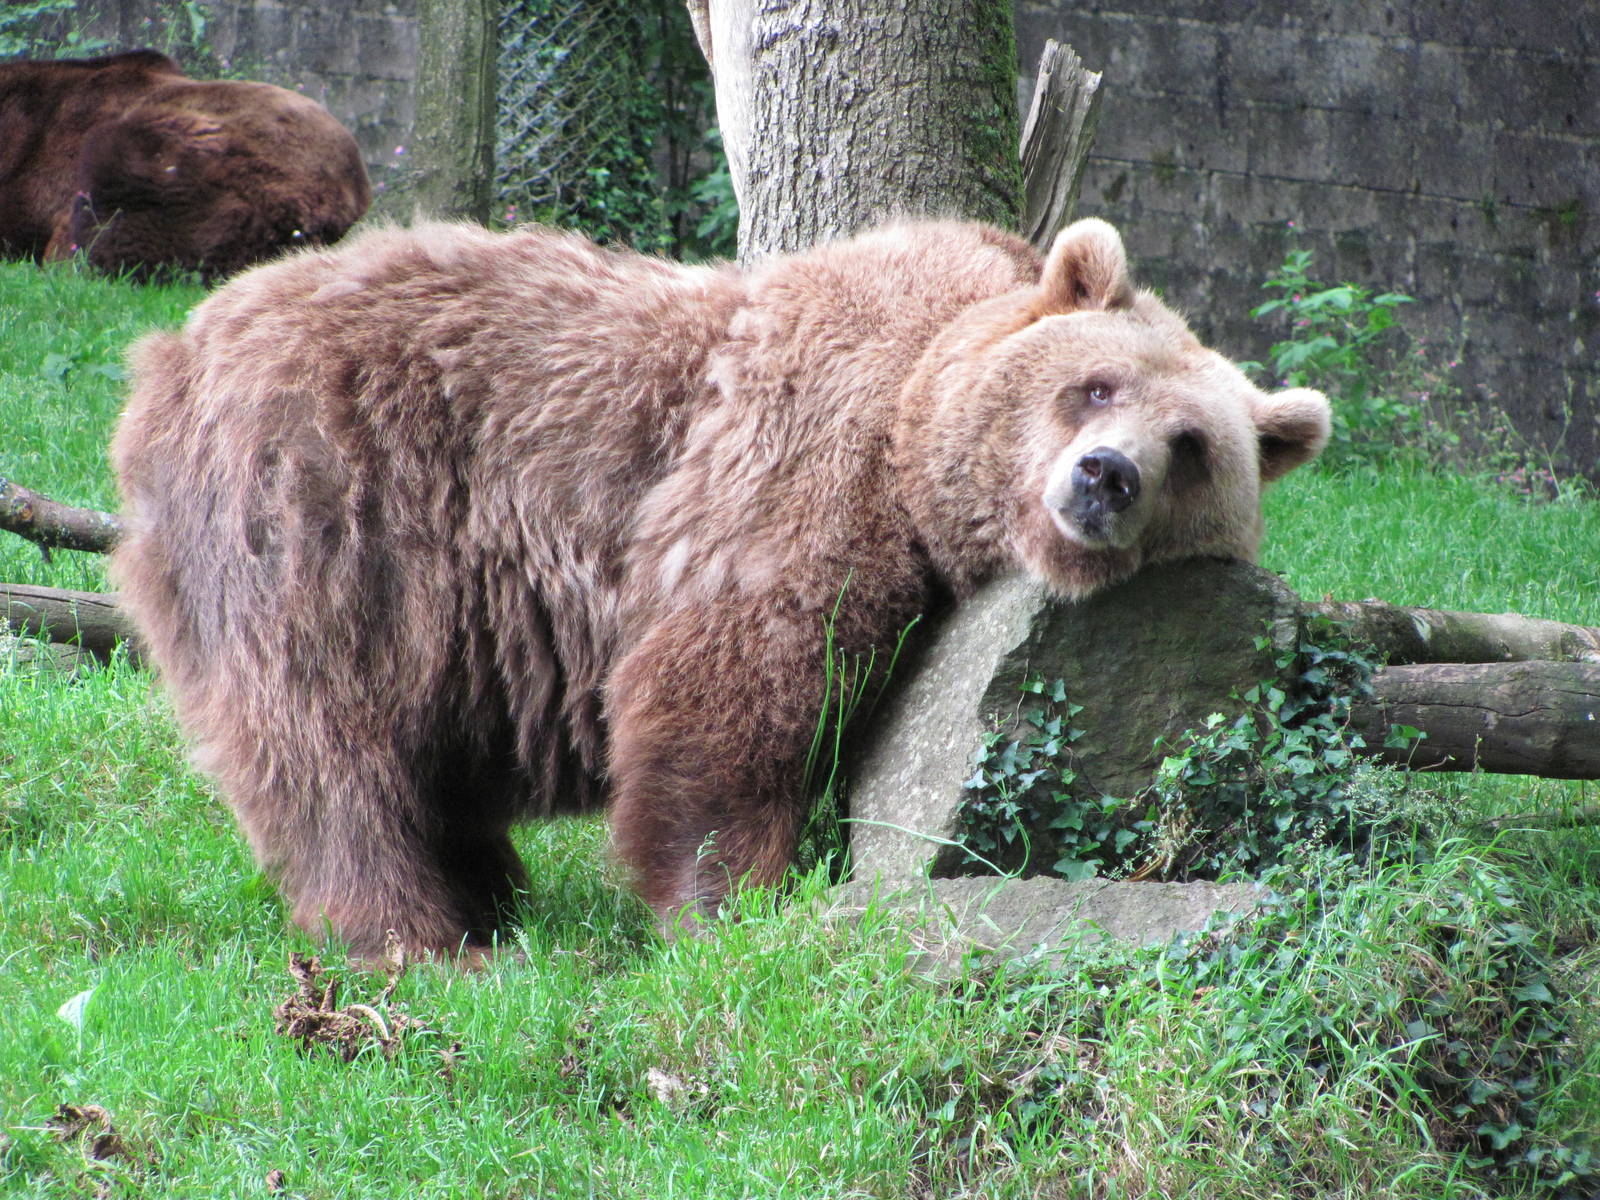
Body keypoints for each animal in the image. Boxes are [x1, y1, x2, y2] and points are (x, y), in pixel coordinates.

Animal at [110, 216, 1331, 960]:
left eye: (1192, 447)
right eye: (1097, 384)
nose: (1106, 475)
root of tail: (171, 353)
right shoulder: (800, 462)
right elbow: (734, 682)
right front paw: (733, 903)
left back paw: (485, 894)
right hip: (327, 504)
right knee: (325, 737)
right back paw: (414, 932)